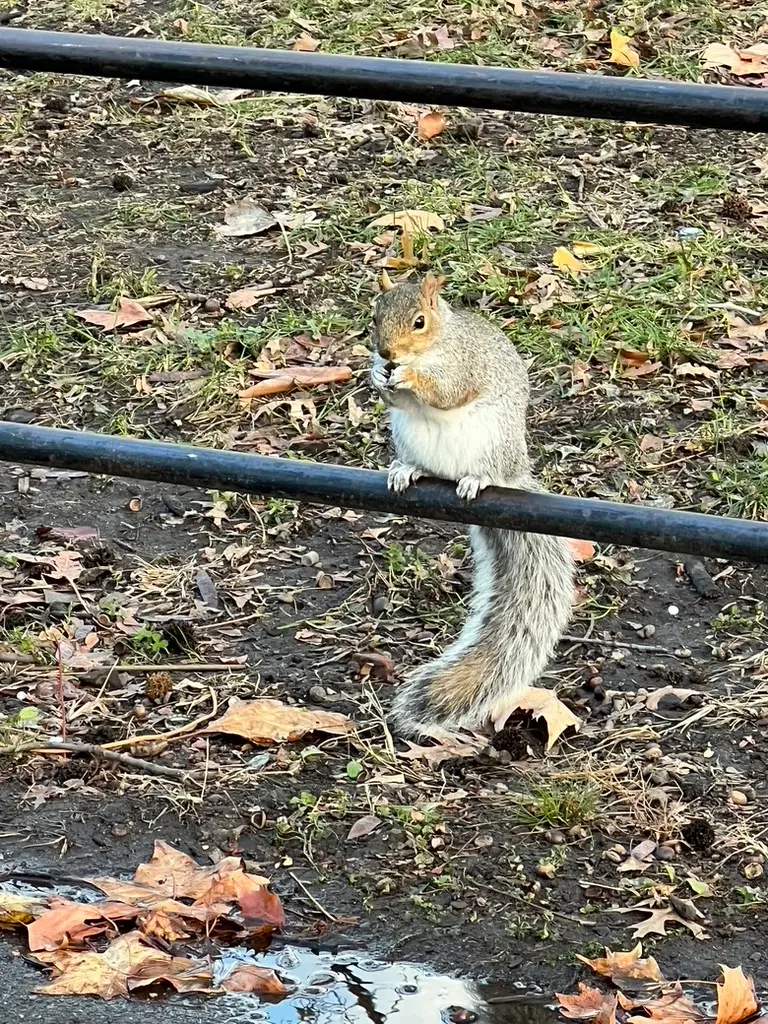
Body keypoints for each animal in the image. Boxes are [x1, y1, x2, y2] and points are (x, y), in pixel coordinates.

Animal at [370, 270, 575, 742]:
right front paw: (376, 375)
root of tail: (514, 471)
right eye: (374, 316)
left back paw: (475, 479)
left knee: (485, 469)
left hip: (492, 442)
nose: (387, 355)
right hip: (408, 437)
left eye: (420, 322)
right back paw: (406, 471)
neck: (438, 344)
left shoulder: (462, 366)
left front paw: (408, 377)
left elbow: (446, 392)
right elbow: (391, 395)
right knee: (419, 463)